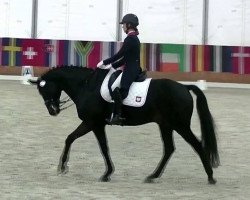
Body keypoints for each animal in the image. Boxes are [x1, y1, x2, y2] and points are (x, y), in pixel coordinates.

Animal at [30, 66, 220, 184]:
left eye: (44, 89)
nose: (53, 111)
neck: (87, 86)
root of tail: (184, 87)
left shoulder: (92, 122)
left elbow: (73, 139)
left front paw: (63, 167)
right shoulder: (98, 124)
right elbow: (101, 146)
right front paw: (107, 173)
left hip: (180, 125)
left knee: (197, 145)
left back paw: (210, 177)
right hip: (166, 125)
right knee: (169, 149)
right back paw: (152, 176)